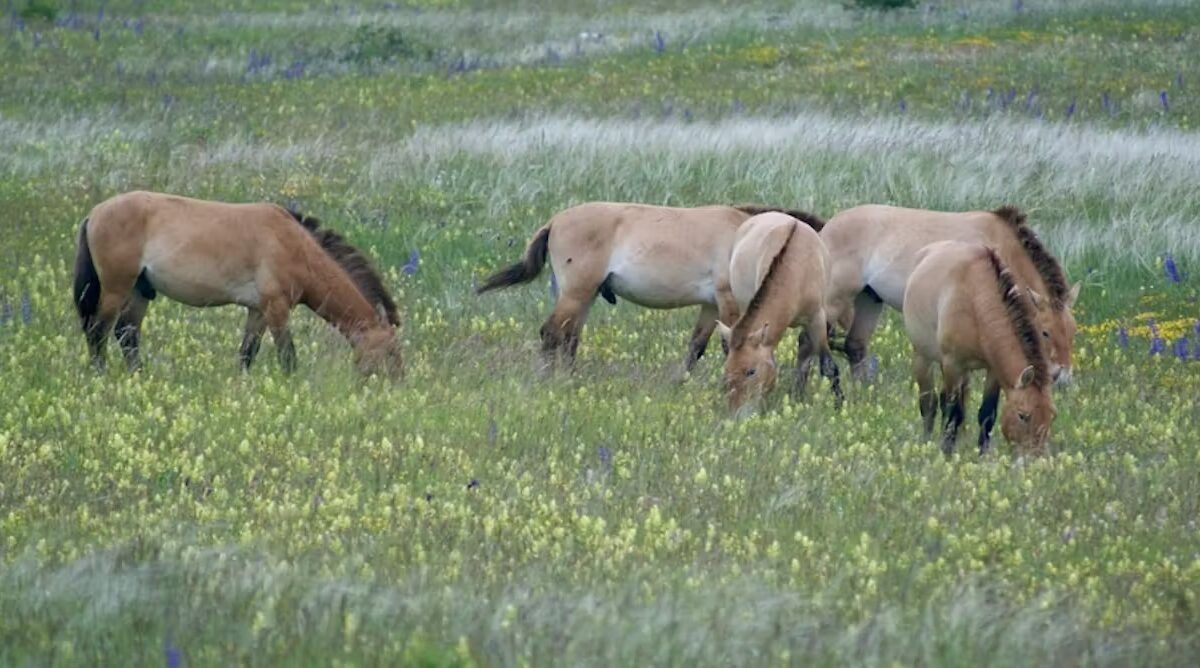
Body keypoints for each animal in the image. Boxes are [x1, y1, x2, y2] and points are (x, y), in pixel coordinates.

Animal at [73, 190, 403, 376]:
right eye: (391, 352)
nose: (396, 385)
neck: (295, 247)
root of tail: (94, 213)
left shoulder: (258, 311)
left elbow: (247, 354)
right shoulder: (277, 308)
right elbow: (288, 356)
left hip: (140, 291)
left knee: (126, 335)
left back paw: (139, 376)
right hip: (116, 288)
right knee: (98, 332)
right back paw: (100, 376)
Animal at [475, 200, 825, 371]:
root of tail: (555, 221)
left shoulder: (710, 305)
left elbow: (695, 347)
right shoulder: (728, 302)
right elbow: (727, 346)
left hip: (584, 295)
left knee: (569, 337)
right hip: (576, 293)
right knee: (551, 334)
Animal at [710, 212, 844, 412]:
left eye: (751, 371)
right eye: (727, 370)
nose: (737, 412)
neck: (797, 270)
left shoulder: (817, 319)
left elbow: (828, 365)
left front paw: (839, 404)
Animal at [902, 241, 1056, 458]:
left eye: (1051, 416)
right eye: (1023, 416)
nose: (1035, 458)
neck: (975, 300)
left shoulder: (993, 371)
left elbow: (987, 413)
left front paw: (982, 455)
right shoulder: (953, 364)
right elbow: (952, 412)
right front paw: (946, 452)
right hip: (923, 357)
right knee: (929, 403)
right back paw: (927, 441)